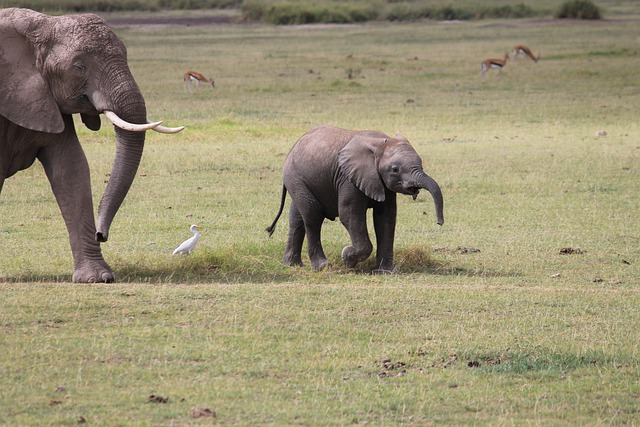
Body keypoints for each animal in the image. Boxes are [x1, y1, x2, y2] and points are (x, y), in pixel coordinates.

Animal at [0, 8, 185, 282]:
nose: (102, 234)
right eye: (79, 66)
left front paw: (98, 278)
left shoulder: (47, 99)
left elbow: (71, 168)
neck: (40, 24)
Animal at [266, 125, 444, 274]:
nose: (439, 222)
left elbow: (386, 218)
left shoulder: (381, 182)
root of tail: (294, 146)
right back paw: (323, 267)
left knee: (297, 218)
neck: (380, 144)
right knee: (312, 216)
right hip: (295, 177)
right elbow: (350, 215)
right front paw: (347, 258)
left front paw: (386, 272)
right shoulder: (348, 178)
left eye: (421, 163)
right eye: (395, 169)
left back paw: (292, 265)